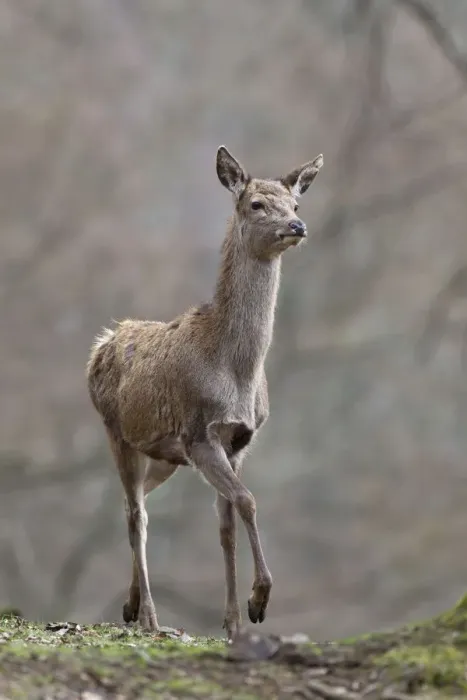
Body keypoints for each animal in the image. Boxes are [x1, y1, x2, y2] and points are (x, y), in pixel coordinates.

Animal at [86, 145, 323, 640]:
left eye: (296, 203)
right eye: (257, 204)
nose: (297, 226)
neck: (236, 371)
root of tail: (102, 343)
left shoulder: (239, 440)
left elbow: (227, 524)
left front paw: (234, 622)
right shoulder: (200, 434)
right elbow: (248, 500)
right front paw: (258, 601)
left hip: (162, 456)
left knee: (135, 504)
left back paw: (130, 604)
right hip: (117, 431)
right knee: (136, 515)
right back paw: (150, 617)